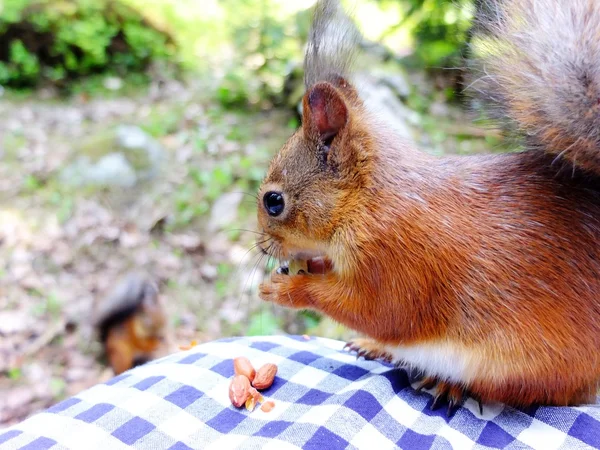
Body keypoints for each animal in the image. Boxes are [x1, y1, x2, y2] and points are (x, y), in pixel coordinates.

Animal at [256, 0, 600, 414]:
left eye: (274, 202)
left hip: (524, 367)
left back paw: (445, 382)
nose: (261, 248)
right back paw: (375, 348)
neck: (367, 202)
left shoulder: (397, 260)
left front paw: (288, 290)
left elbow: (377, 311)